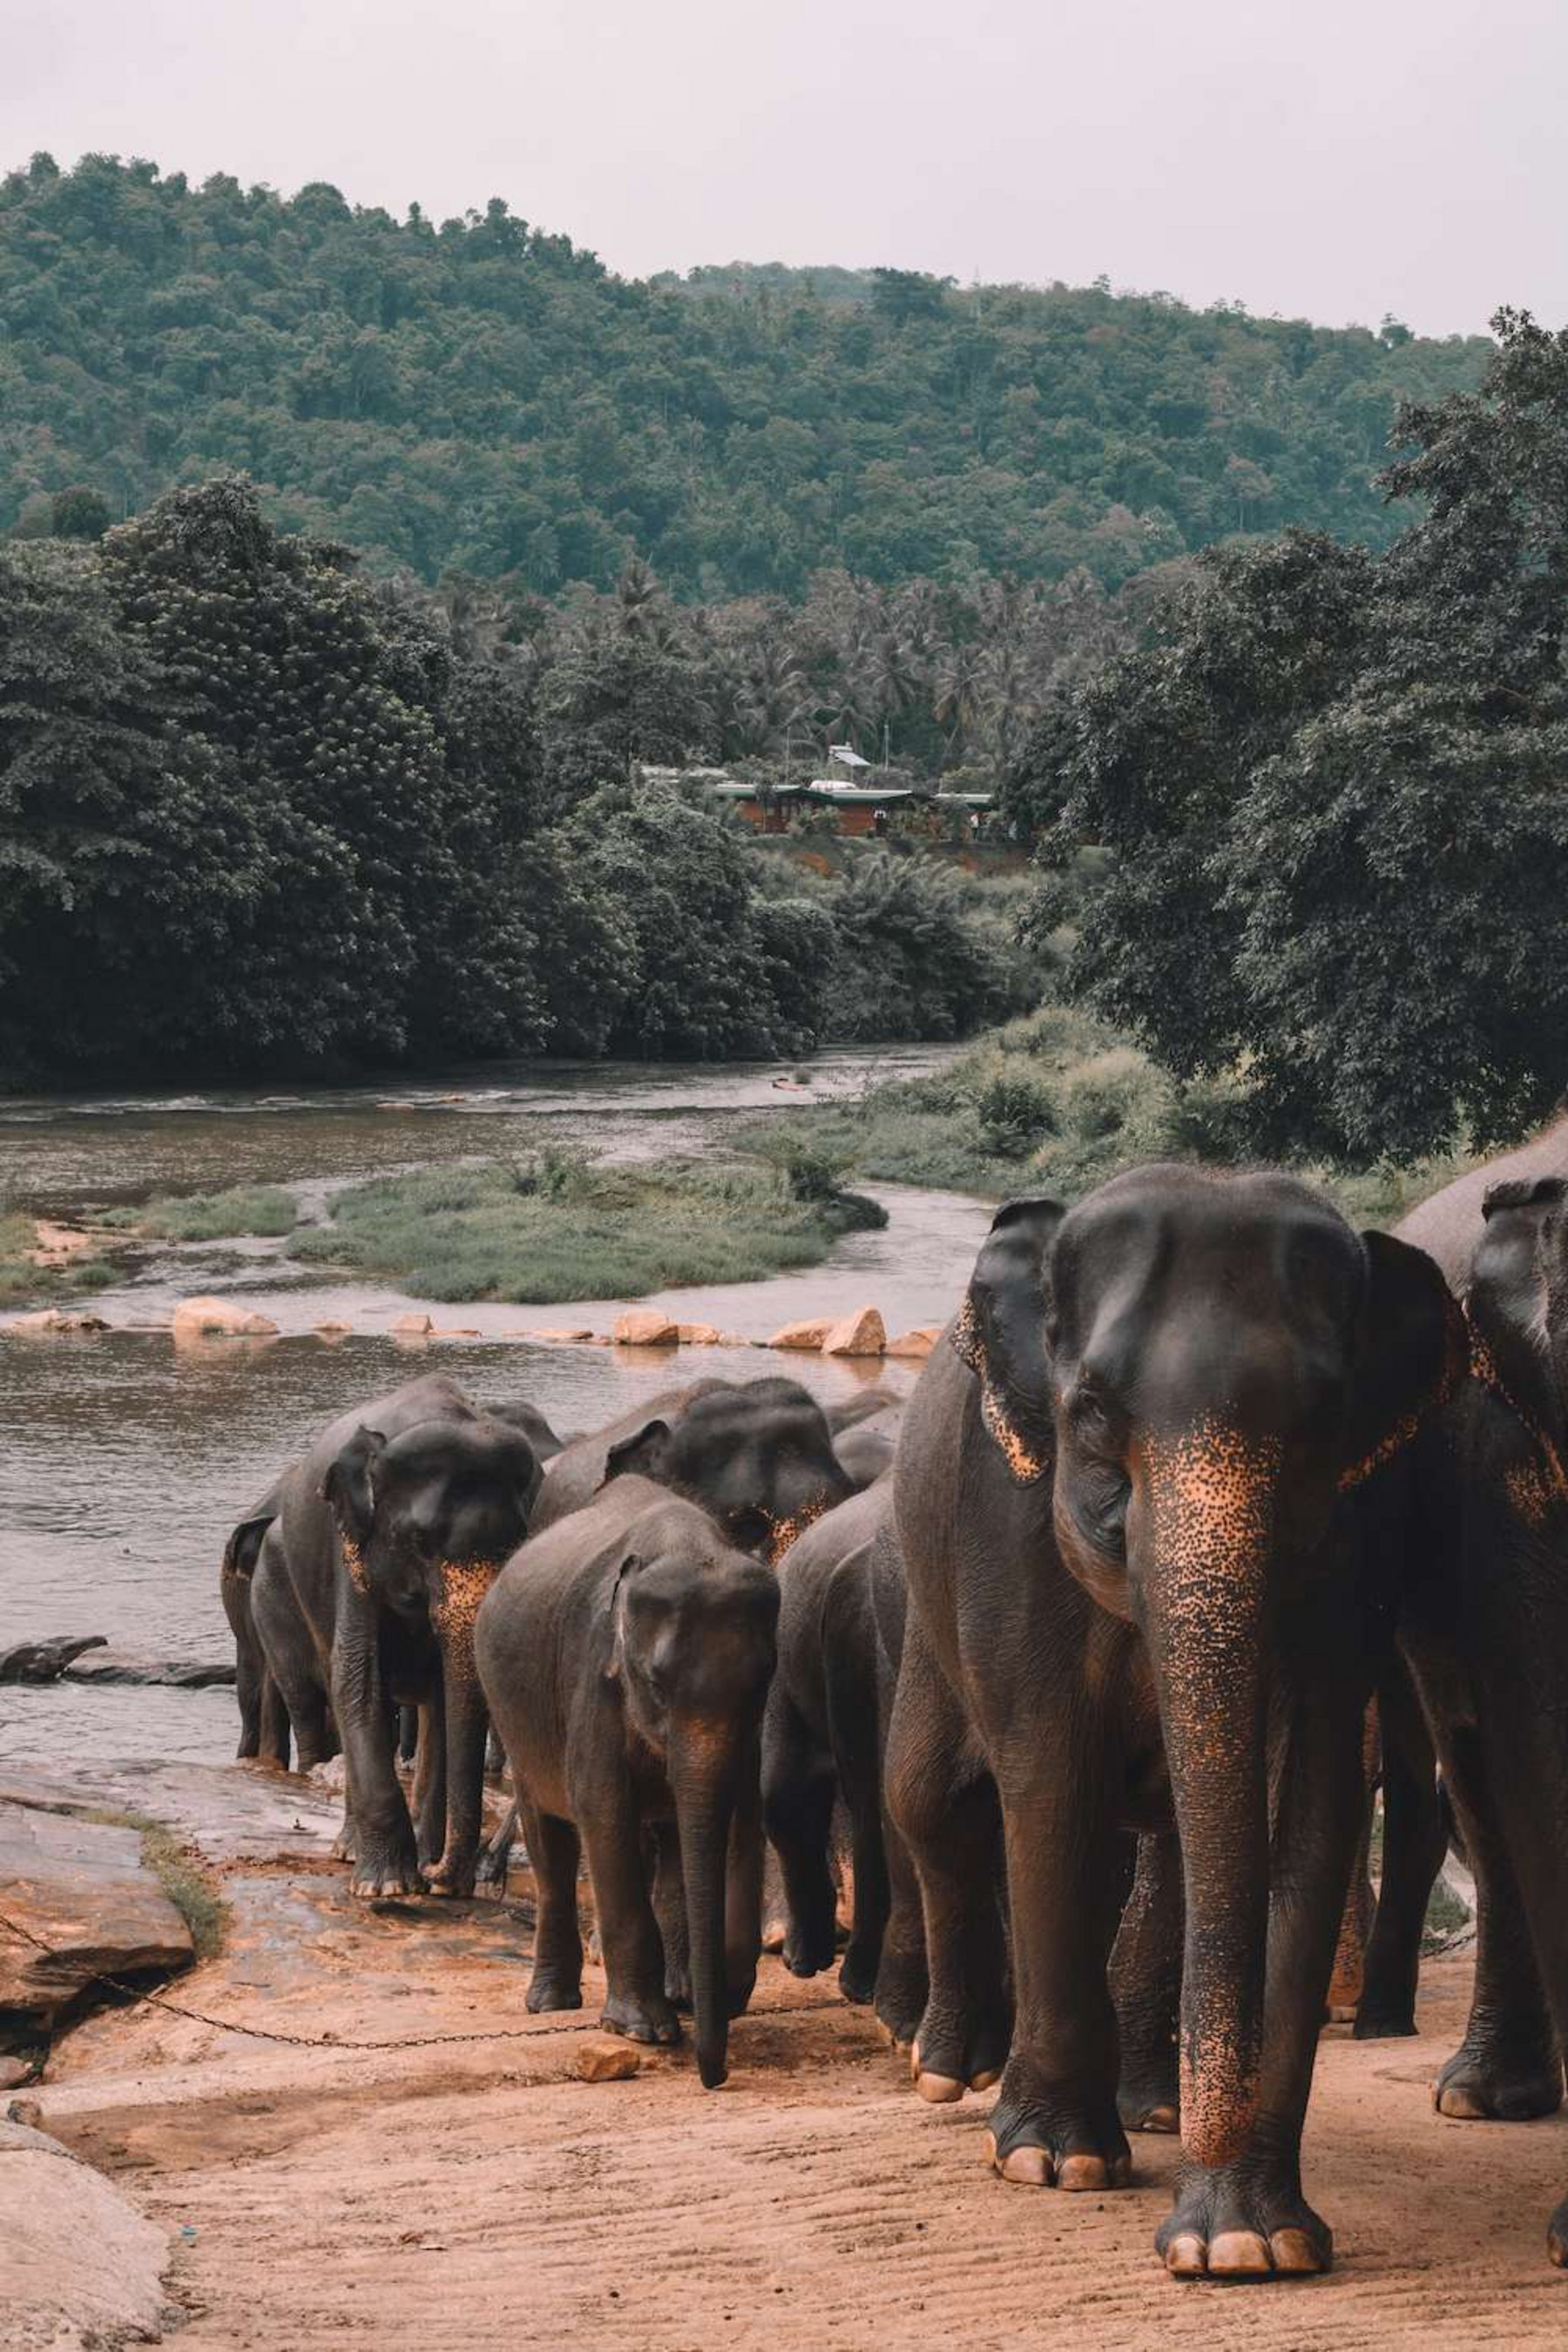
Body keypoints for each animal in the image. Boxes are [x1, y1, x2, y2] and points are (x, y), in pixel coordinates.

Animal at [257, 1373, 545, 1890]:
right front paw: (388, 1884)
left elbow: (446, 1698)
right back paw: (352, 1851)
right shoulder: (349, 1548)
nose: (439, 1873)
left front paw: (430, 1873)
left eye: (516, 1542)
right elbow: (357, 1678)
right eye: (419, 1542)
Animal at [472, 1477, 780, 2088]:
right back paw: (551, 2003)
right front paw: (643, 2031)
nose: (714, 2077)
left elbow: (734, 1812)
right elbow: (603, 1810)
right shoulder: (593, 1677)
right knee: (551, 1840)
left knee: (664, 1840)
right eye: (656, 1683)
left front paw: (713, 1995)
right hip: (517, 1717)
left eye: (761, 1682)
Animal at [883, 1171, 1457, 2276]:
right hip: (926, 1604)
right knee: (933, 1803)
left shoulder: (1362, 1535)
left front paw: (1249, 2242)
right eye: (1092, 1412)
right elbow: (1049, 1787)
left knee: (1166, 1850)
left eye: (1322, 1423)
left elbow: (1308, 1809)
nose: (1194, 2224)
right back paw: (953, 2073)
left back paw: (1150, 2108)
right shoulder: (1006, 1523)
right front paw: (1055, 2165)